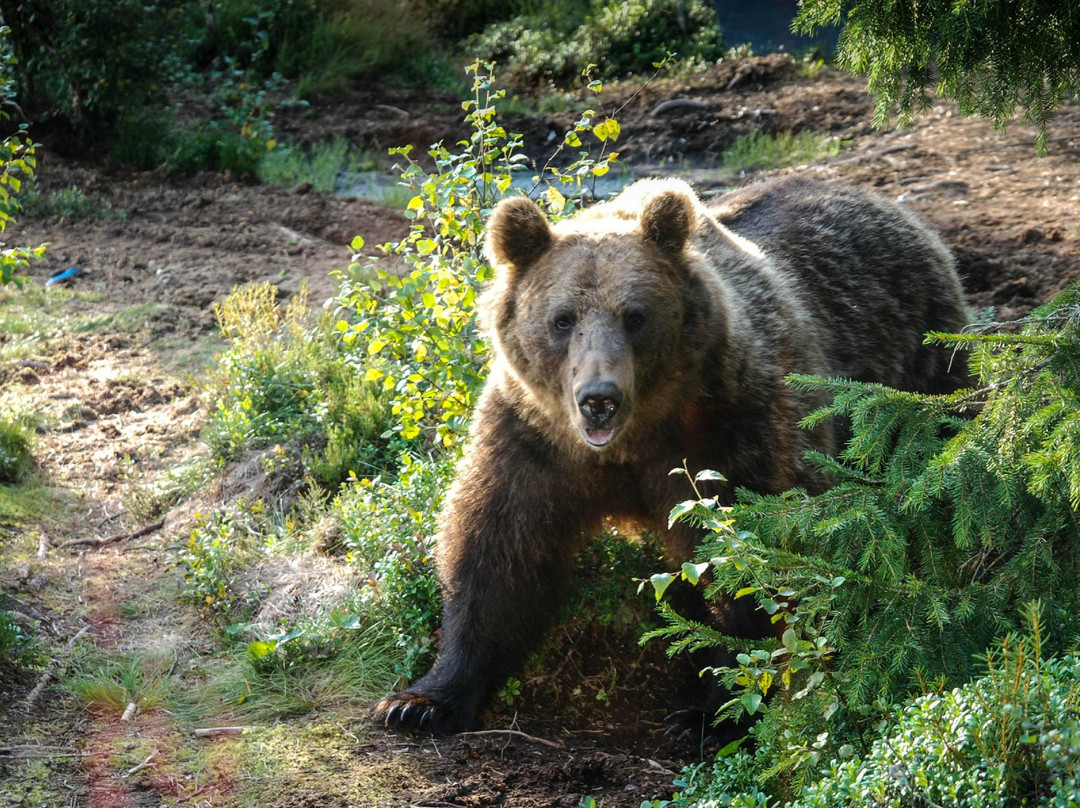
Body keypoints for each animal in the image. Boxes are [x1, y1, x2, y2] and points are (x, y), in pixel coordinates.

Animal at [373, 174, 972, 730]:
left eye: (634, 315)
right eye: (562, 319)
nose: (599, 399)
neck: (631, 441)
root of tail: (880, 200)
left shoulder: (731, 430)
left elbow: (751, 560)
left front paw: (715, 707)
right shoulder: (532, 439)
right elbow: (497, 556)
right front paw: (419, 701)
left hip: (919, 364)